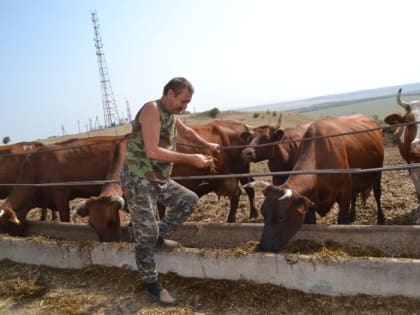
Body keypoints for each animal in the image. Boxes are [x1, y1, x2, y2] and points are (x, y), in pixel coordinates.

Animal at [248, 115, 386, 253]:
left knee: (377, 194)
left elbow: (342, 221)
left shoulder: (344, 194)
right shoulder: (309, 202)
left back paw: (381, 219)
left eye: (282, 218)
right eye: (264, 214)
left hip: (377, 173)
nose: (263, 247)